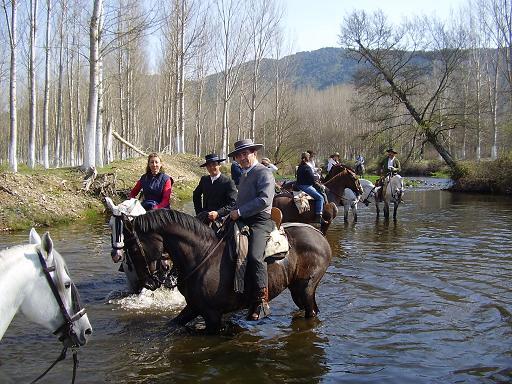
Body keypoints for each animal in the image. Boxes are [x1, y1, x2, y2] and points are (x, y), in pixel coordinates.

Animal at [112, 207, 332, 332]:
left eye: (133, 248)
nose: (149, 283)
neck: (201, 255)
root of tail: (319, 235)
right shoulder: (194, 306)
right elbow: (173, 323)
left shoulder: (212, 315)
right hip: (297, 290)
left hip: (306, 288)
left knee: (311, 312)